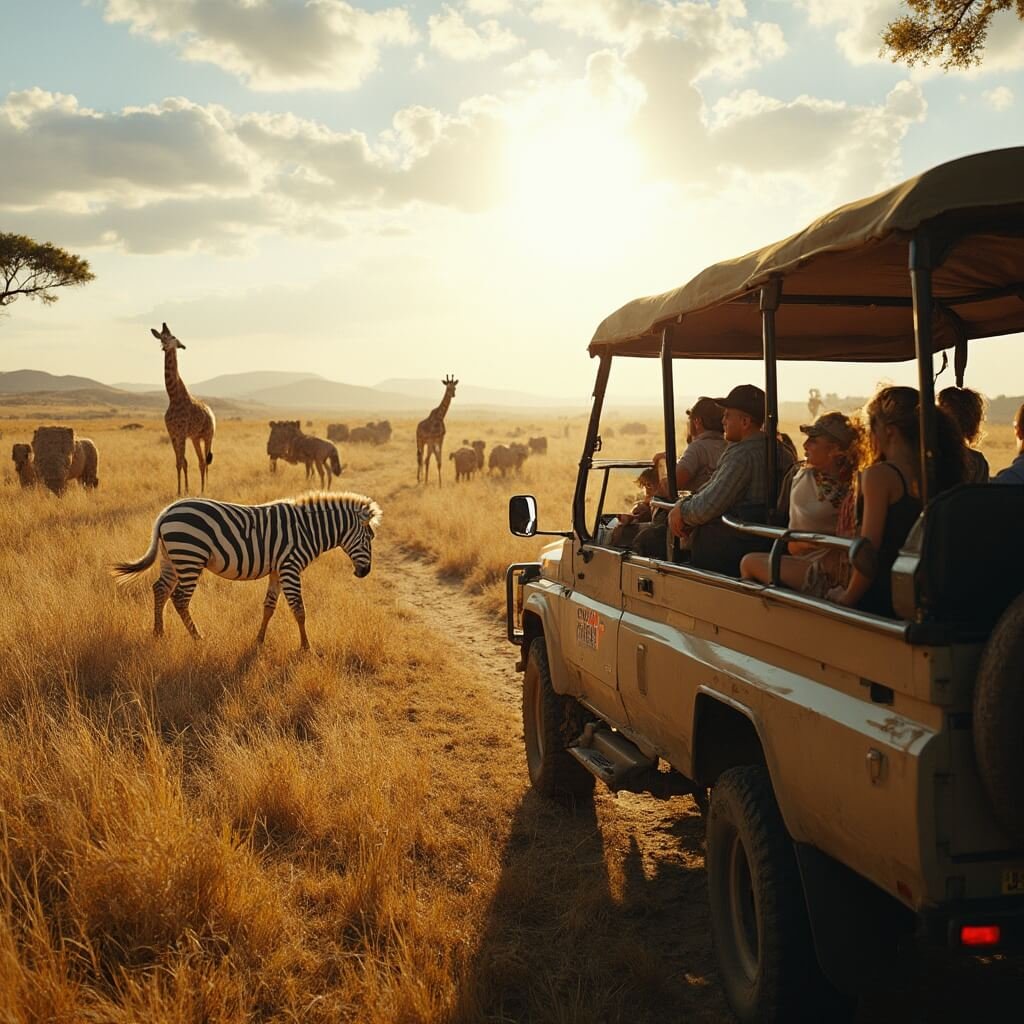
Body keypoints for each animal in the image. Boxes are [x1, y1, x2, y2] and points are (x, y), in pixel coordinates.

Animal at [112, 491, 382, 650]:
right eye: (370, 538)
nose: (364, 572)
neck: (307, 530)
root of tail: (167, 511)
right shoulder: (290, 566)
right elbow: (299, 609)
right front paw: (306, 647)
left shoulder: (277, 570)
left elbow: (269, 606)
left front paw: (259, 640)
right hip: (190, 556)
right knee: (180, 598)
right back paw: (198, 638)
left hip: (172, 558)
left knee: (160, 589)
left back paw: (159, 633)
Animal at [151, 322, 216, 495]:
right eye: (161, 337)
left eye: (173, 336)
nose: (164, 346)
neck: (173, 397)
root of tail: (212, 413)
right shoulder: (173, 433)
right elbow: (180, 462)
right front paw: (181, 491)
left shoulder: (181, 433)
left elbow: (182, 461)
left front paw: (183, 492)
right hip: (195, 437)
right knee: (201, 461)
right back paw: (201, 489)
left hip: (208, 436)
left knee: (206, 461)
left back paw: (205, 489)